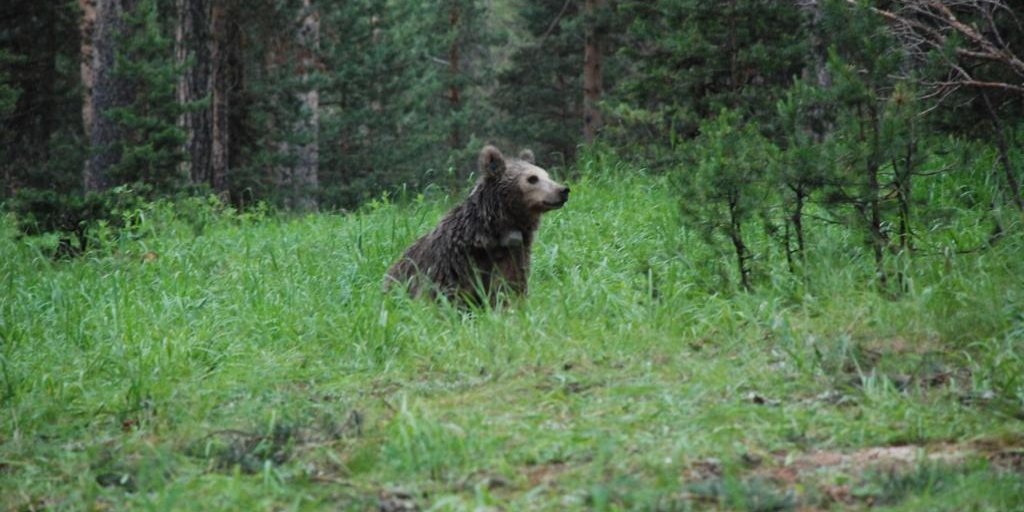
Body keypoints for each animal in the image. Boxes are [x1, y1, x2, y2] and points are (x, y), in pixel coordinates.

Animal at [385, 144, 573, 303]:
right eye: (532, 179)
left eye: (547, 175)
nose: (563, 190)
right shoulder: (455, 265)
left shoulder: (513, 255)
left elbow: (509, 289)